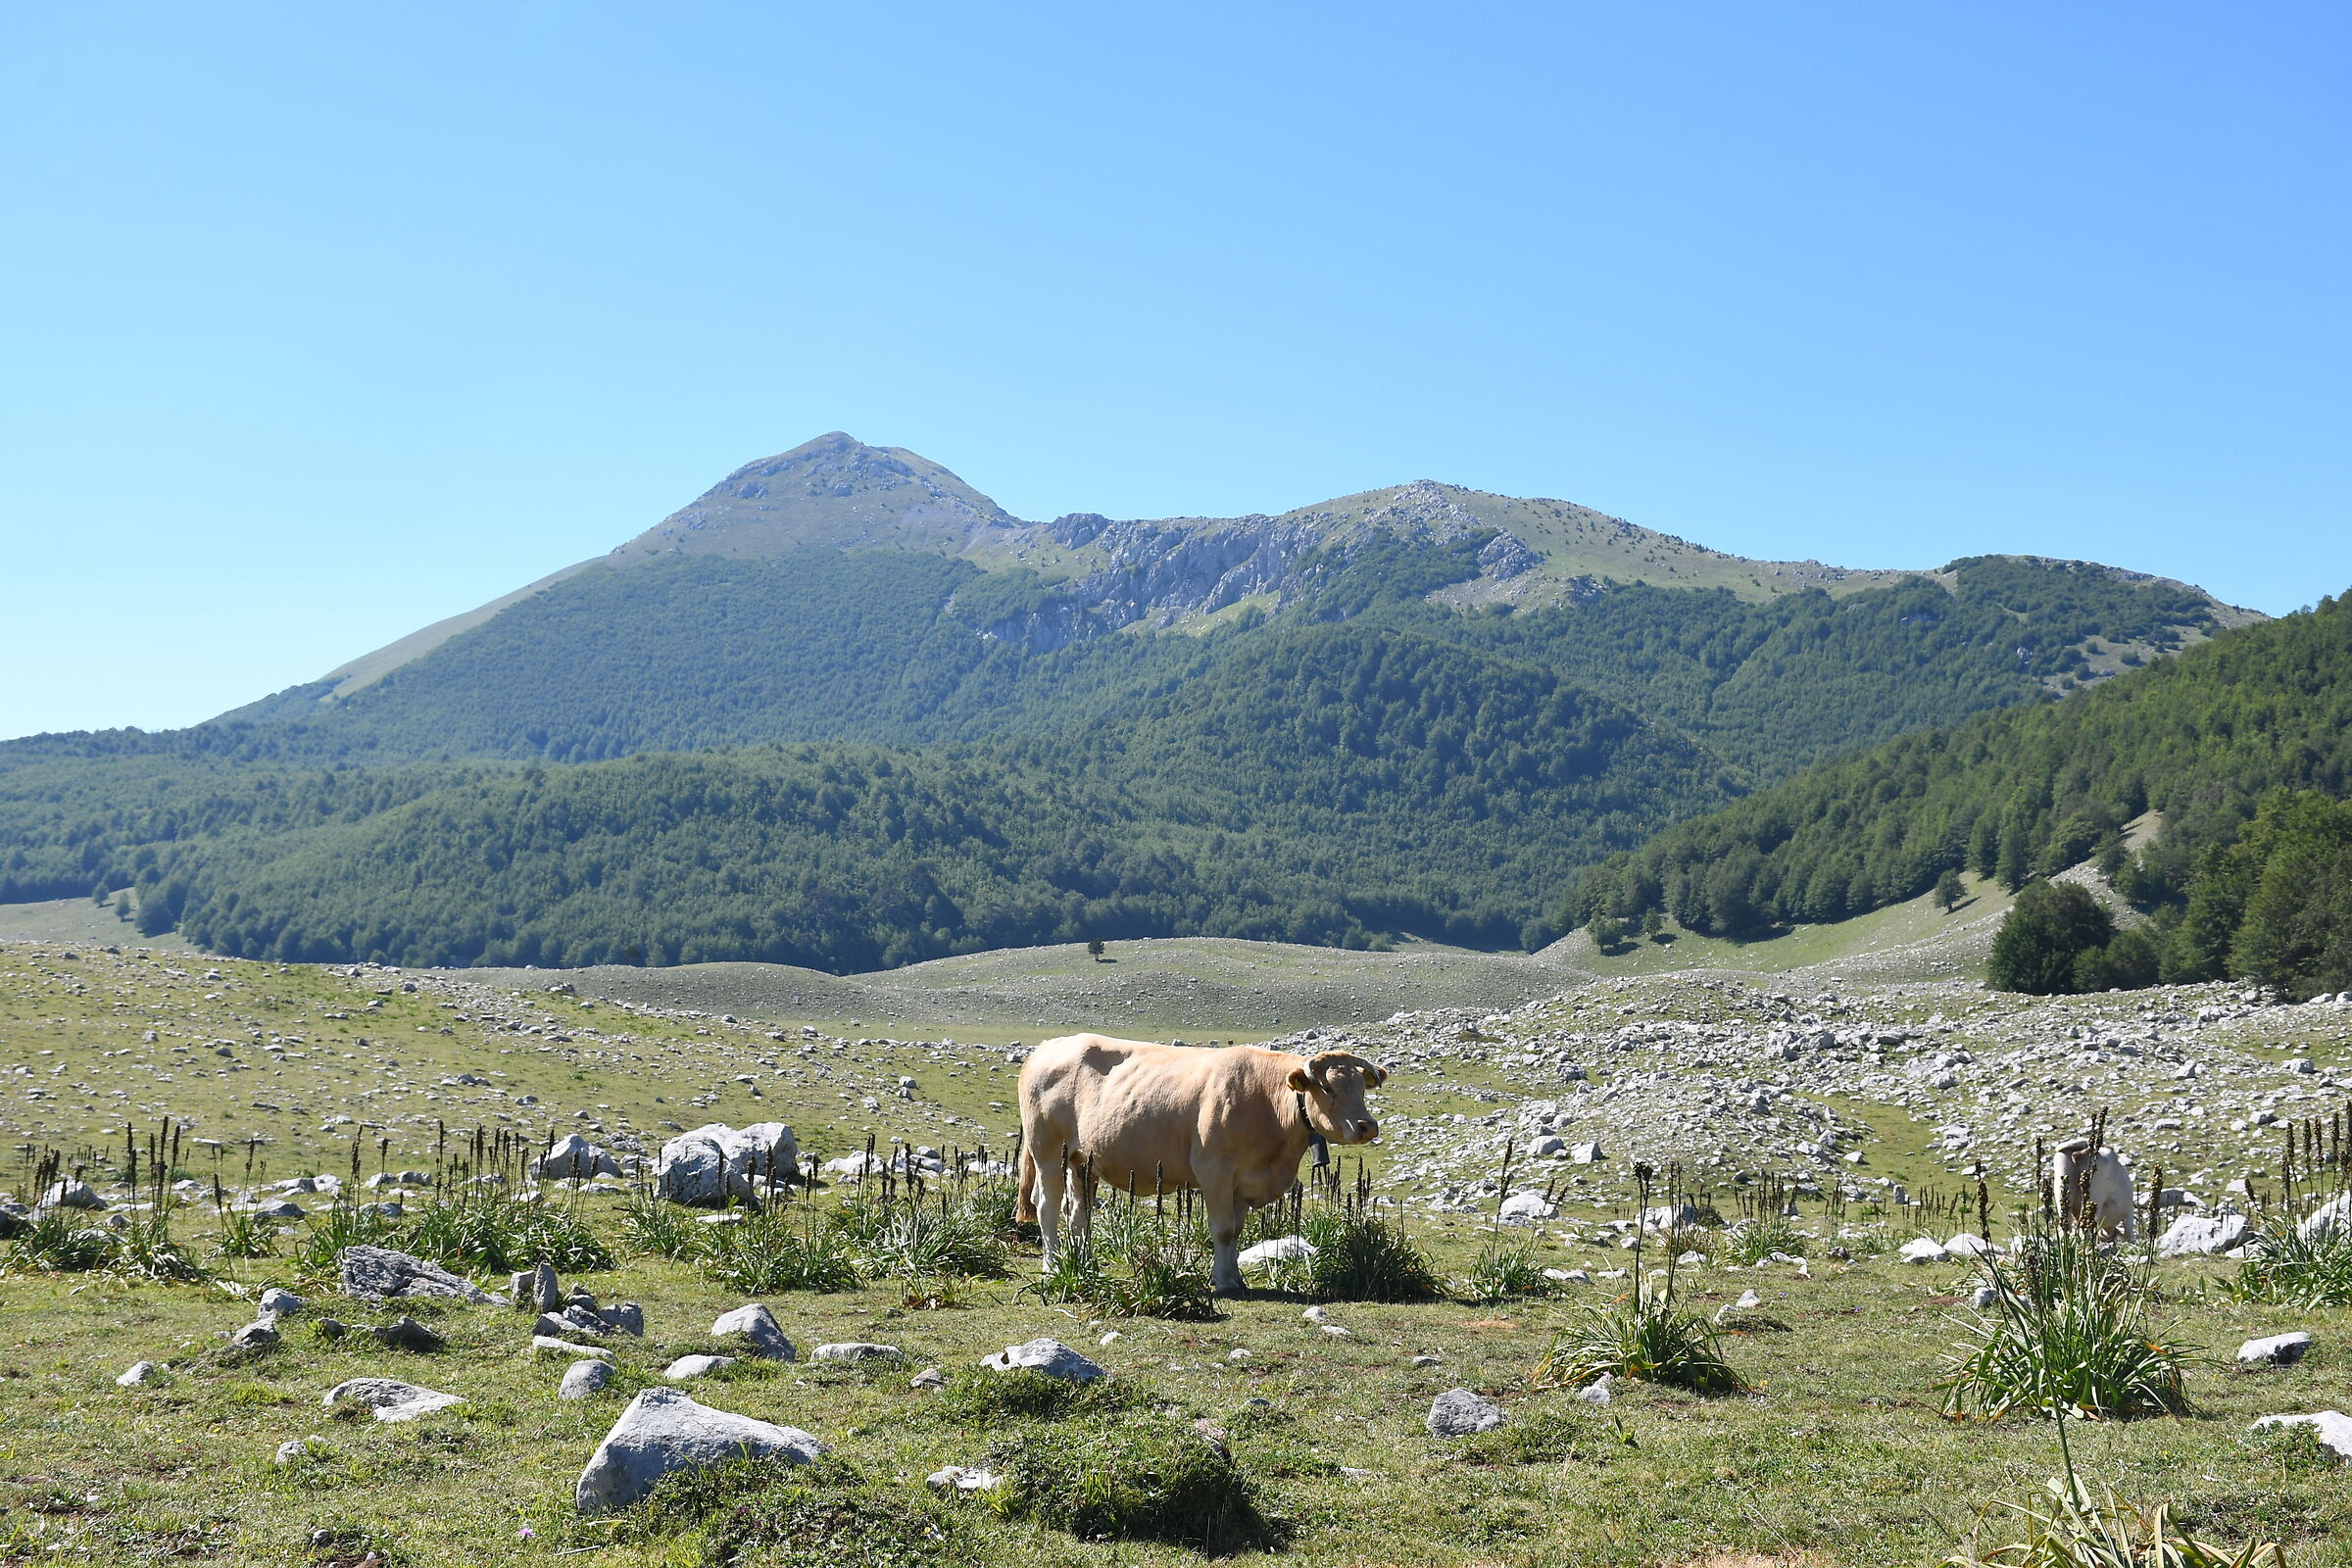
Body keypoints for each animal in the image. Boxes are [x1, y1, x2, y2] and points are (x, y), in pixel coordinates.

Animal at [1006, 1034, 1373, 1298]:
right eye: (1328, 1087)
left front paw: (1235, 1278)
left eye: (1361, 1088)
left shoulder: (1242, 1182)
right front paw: (1223, 1282)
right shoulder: (1215, 1171)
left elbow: (1236, 1231)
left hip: (1082, 1161)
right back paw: (1054, 1267)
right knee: (1047, 1206)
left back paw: (1084, 1264)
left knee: (1078, 1213)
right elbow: (1222, 1229)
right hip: (1047, 1150)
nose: (1367, 1125)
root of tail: (1047, 1047)